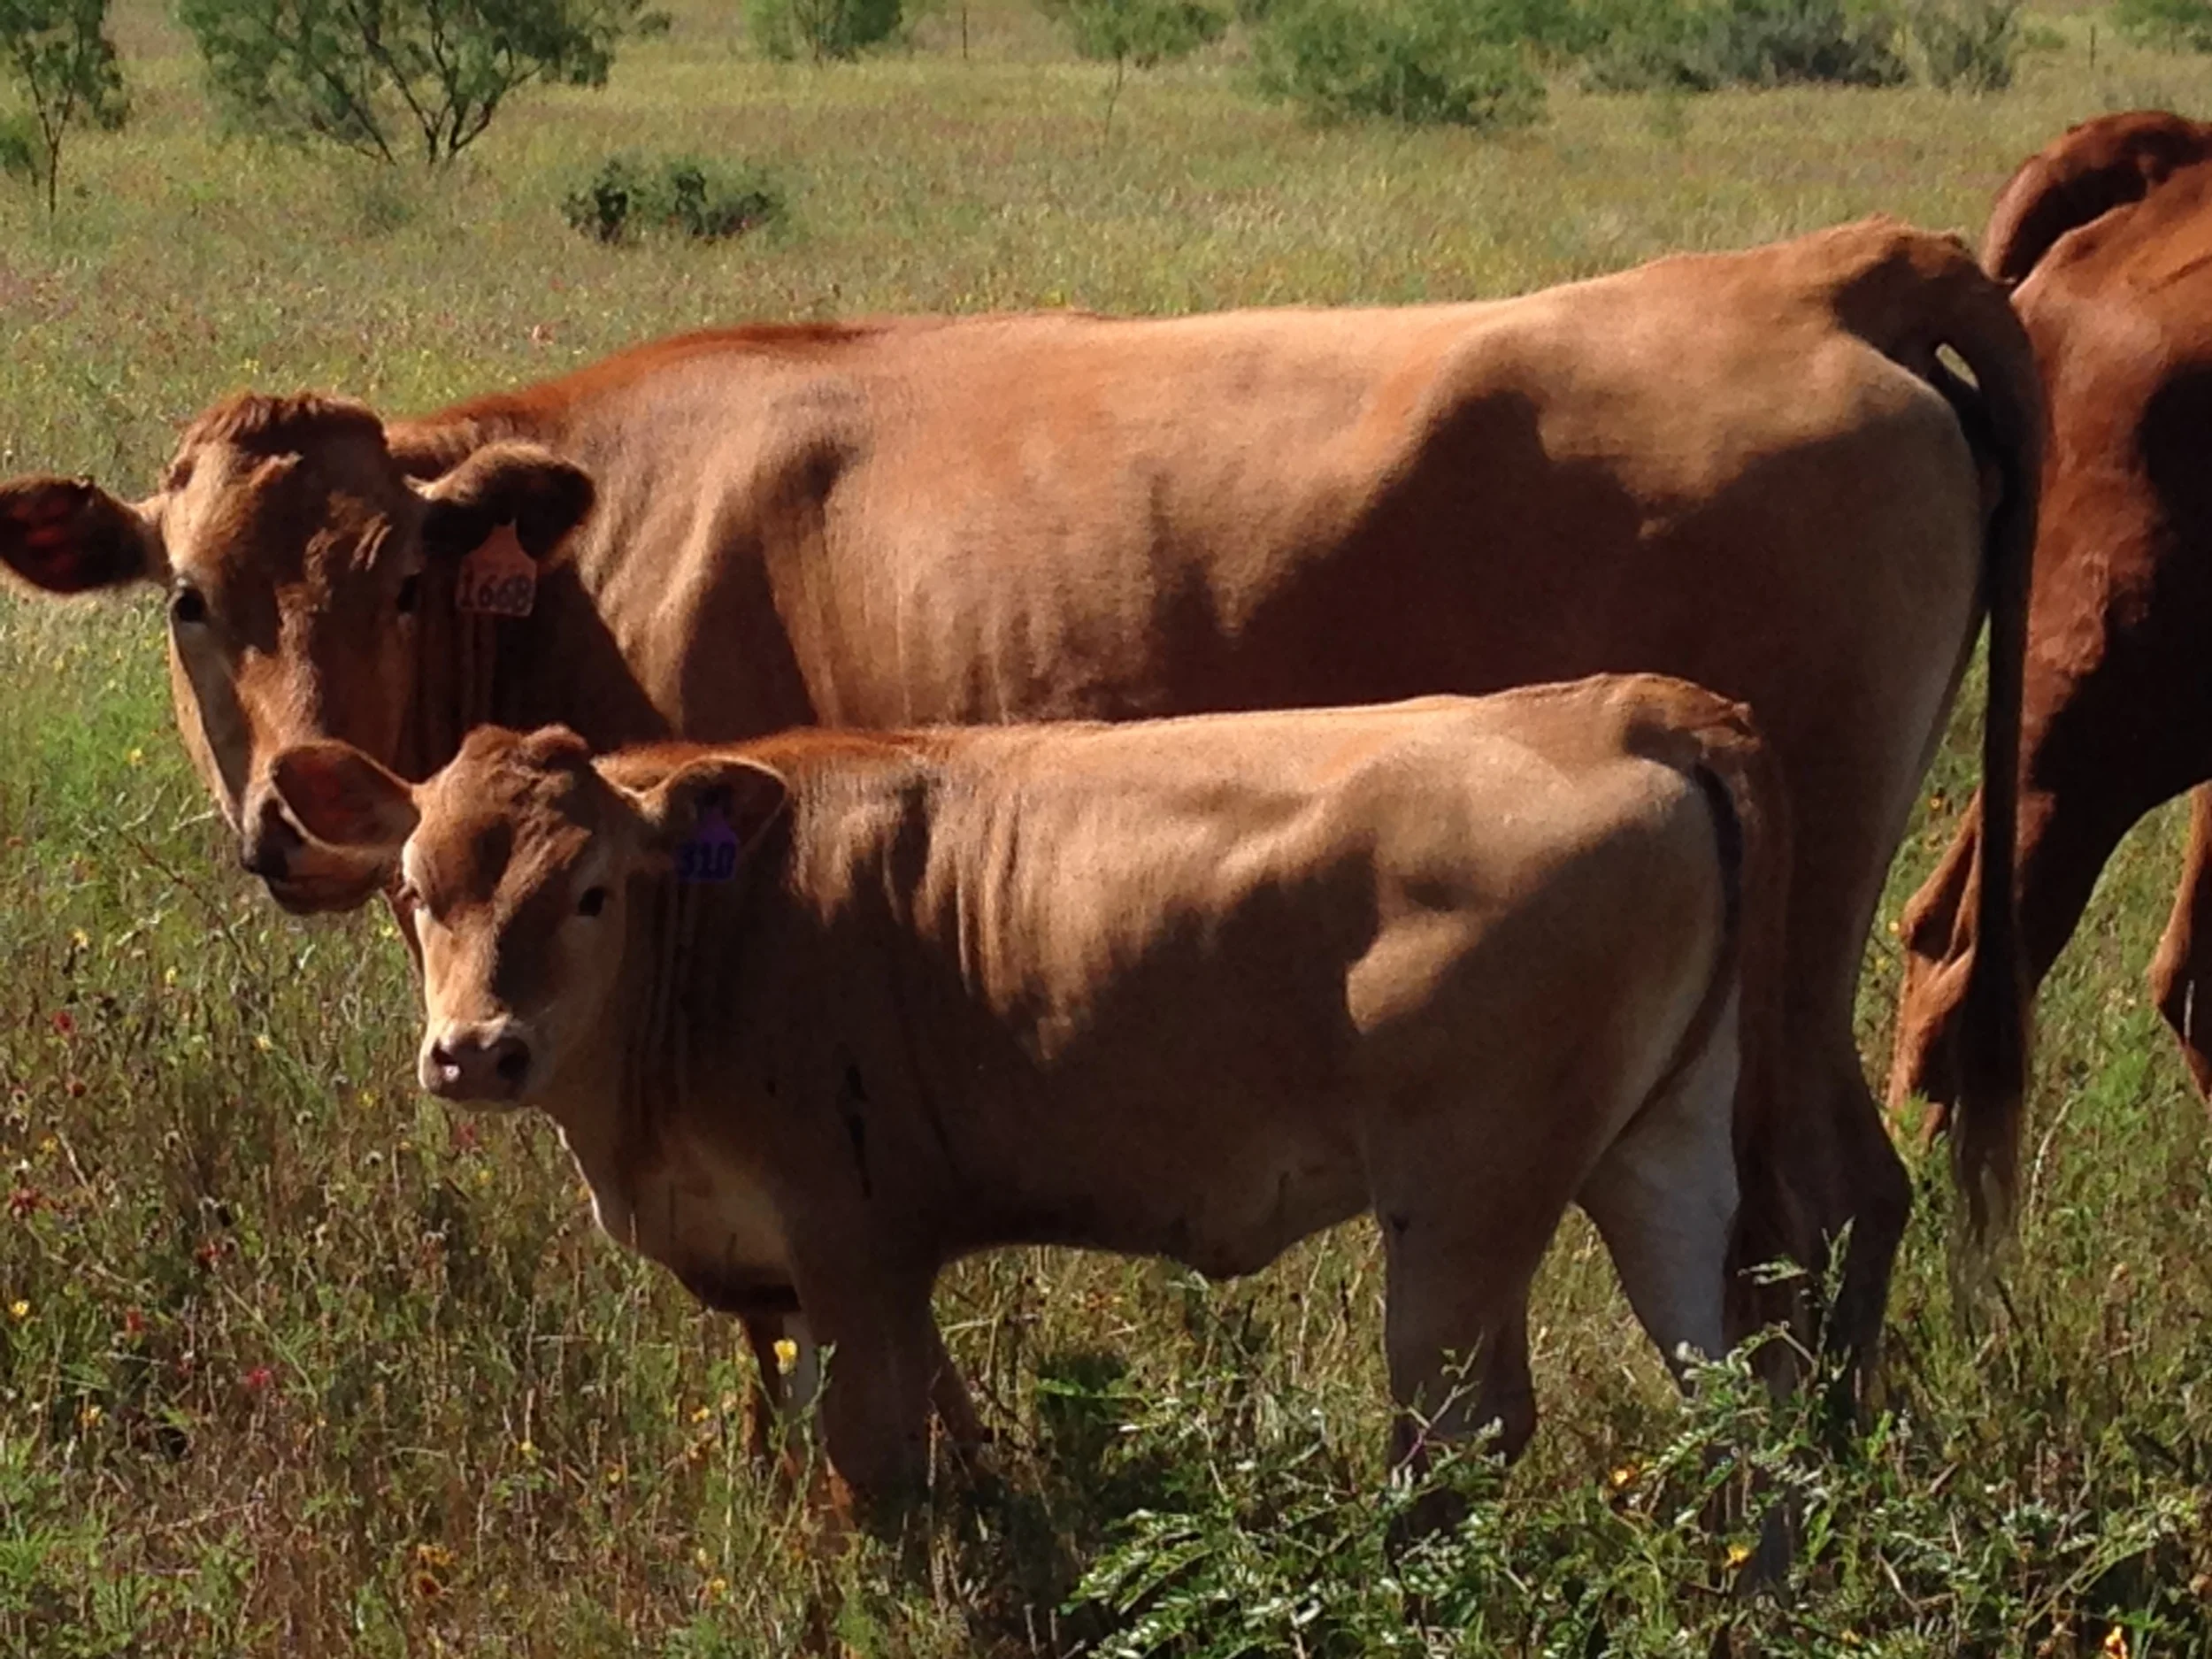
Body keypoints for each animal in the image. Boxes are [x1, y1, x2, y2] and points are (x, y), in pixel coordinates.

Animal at [0, 215, 2039, 1378]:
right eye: (190, 597)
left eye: (405, 585)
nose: (288, 816)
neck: (604, 546)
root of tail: (1802, 275)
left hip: (1794, 940)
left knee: (1823, 1207)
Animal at [263, 674, 1799, 1501]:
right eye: (414, 888)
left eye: (590, 890)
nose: (476, 1048)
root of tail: (1627, 706)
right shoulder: (837, 1270)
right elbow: (940, 1427)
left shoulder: (847, 1239)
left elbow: (875, 1457)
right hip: (1658, 1160)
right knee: (1738, 1408)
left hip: (1466, 1200)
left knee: (1462, 1433)